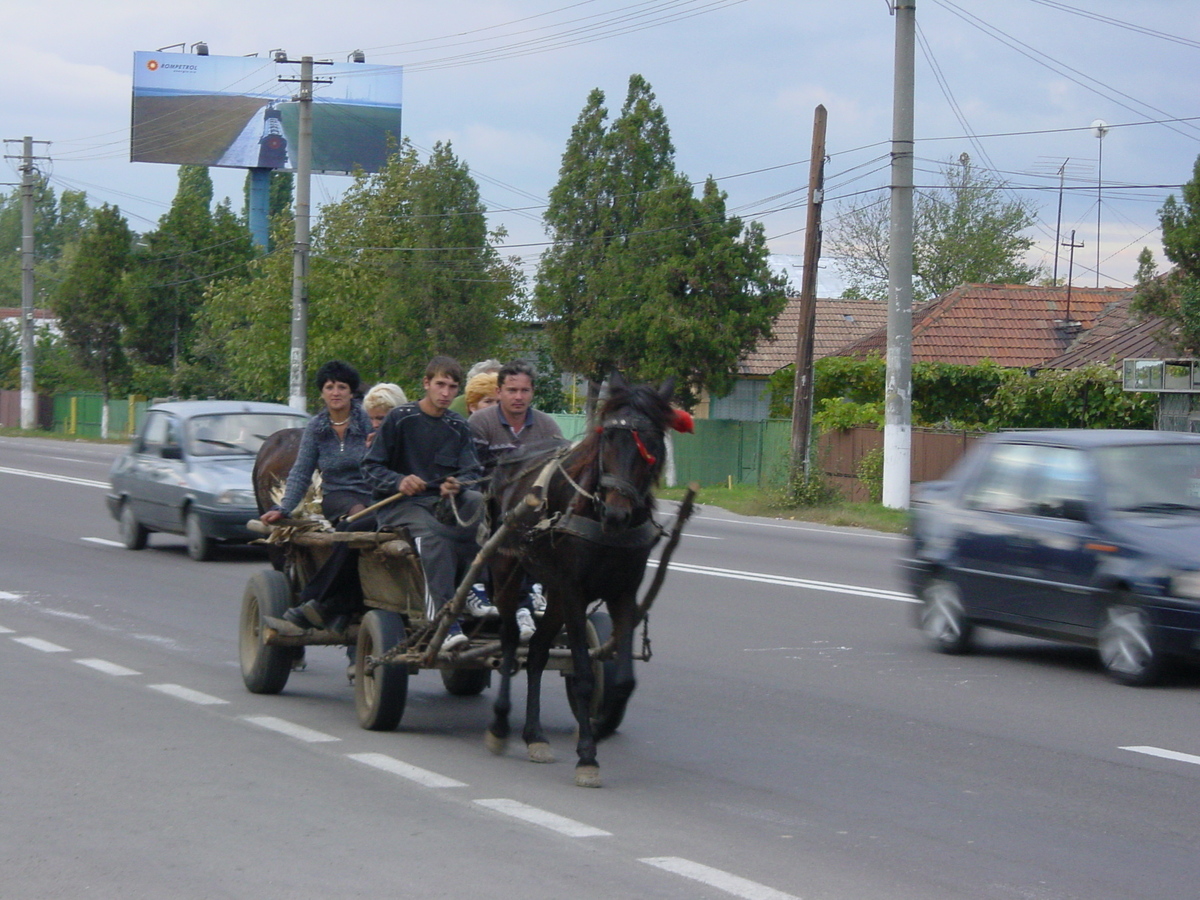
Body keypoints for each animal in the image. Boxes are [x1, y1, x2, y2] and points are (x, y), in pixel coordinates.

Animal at [477, 374, 686, 787]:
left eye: (652, 444)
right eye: (608, 438)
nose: (617, 514)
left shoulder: (623, 593)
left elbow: (622, 681)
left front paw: (598, 727)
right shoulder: (575, 592)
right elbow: (585, 676)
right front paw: (587, 756)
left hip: (554, 593)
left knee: (537, 651)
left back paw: (535, 736)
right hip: (509, 571)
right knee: (510, 640)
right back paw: (500, 724)